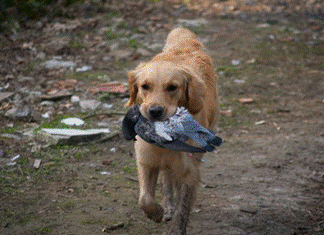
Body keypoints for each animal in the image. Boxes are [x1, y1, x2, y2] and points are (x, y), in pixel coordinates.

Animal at [125, 28, 219, 235]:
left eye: (172, 87)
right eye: (145, 86)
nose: (155, 111)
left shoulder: (189, 169)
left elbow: (182, 209)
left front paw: (177, 227)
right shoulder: (146, 159)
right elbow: (145, 199)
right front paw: (156, 213)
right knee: (166, 177)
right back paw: (167, 207)